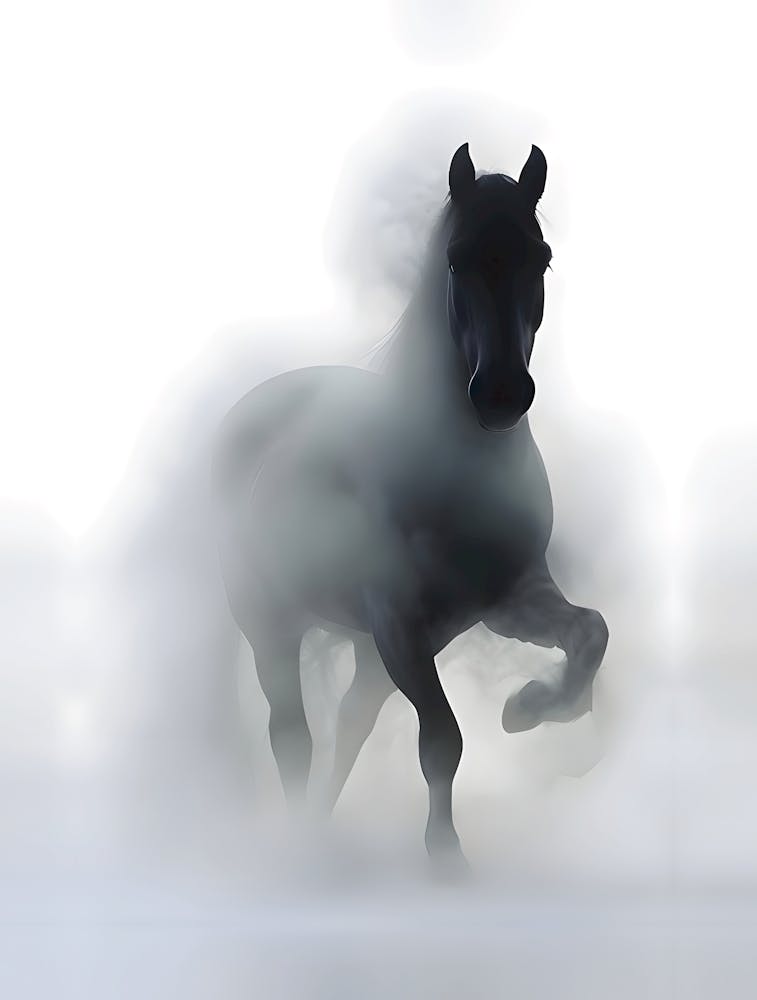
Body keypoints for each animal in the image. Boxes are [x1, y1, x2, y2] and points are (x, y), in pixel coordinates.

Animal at [211, 142, 609, 861]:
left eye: (540, 257)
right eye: (457, 258)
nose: (500, 395)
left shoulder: (506, 601)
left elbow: (591, 631)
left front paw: (530, 711)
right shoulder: (398, 619)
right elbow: (443, 739)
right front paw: (445, 855)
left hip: (374, 650)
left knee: (350, 721)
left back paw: (321, 825)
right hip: (272, 625)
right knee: (292, 735)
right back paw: (301, 844)